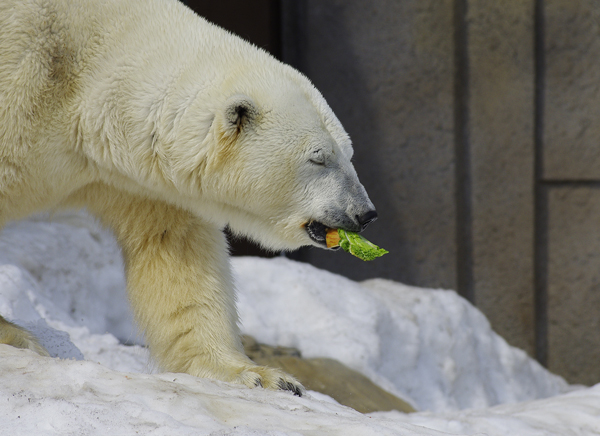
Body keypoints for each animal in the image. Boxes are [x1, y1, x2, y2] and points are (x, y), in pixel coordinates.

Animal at [0, 0, 376, 396]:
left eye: (349, 153)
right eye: (318, 158)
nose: (365, 213)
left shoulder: (140, 180)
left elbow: (177, 253)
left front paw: (261, 375)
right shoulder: (23, 85)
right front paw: (15, 336)